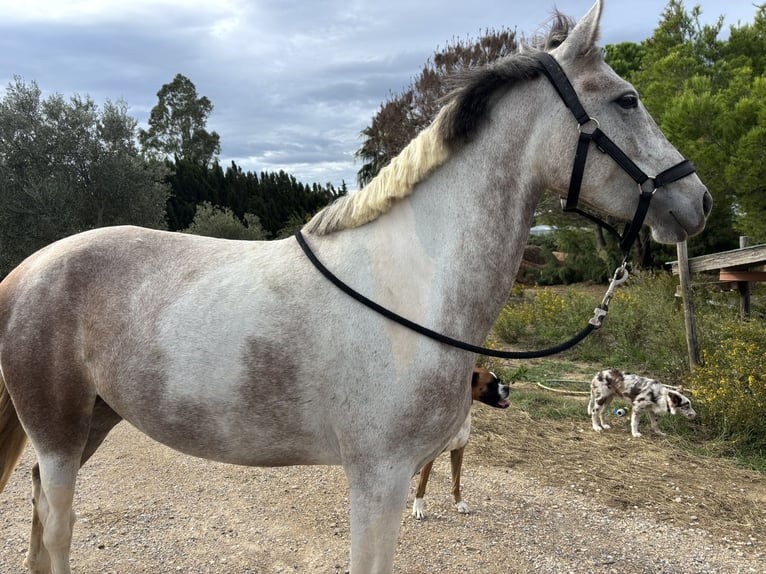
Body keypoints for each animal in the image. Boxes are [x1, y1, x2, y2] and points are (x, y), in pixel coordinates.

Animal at [0, 1, 711, 572]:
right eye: (626, 99)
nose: (698, 202)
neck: (413, 289)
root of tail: (26, 272)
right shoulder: (380, 481)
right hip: (59, 442)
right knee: (54, 540)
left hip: (91, 427)